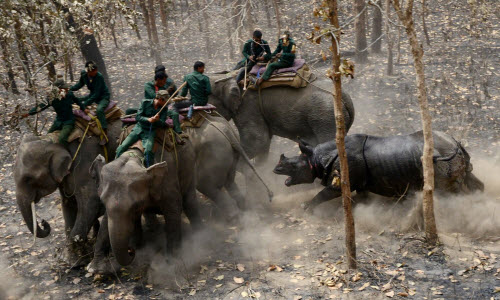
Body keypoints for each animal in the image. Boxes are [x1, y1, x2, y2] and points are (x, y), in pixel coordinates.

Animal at [14, 120, 122, 264]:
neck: (55, 140)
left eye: (28, 178)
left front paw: (74, 262)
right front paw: (69, 259)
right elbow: (69, 204)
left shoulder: (85, 161)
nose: (44, 222)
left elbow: (92, 202)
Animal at [90, 138, 201, 270]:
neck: (135, 155)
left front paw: (172, 262)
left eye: (135, 206)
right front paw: (94, 268)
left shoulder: (168, 180)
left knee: (190, 202)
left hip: (190, 165)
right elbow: (106, 220)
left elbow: (173, 211)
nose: (131, 251)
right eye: (102, 201)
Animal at [274, 129, 484, 211]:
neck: (316, 157)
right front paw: (363, 210)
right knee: (470, 179)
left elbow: (324, 194)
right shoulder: (360, 181)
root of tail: (455, 143)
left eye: (292, 166)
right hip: (453, 154)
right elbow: (363, 197)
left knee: (448, 192)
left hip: (442, 161)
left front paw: (306, 208)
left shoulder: (342, 180)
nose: (276, 169)